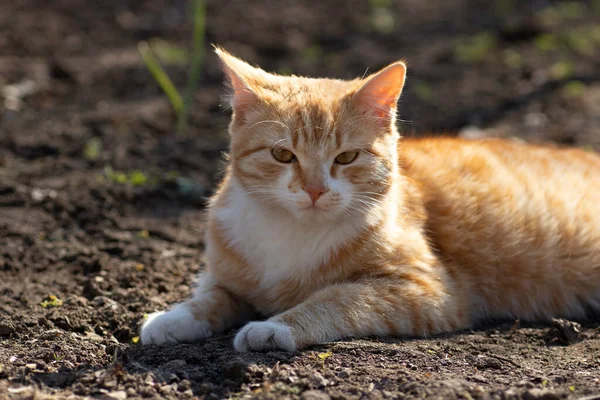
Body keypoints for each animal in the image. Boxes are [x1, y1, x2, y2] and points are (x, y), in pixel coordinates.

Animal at [141, 48, 600, 352]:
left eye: (346, 158)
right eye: (282, 155)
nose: (314, 190)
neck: (294, 233)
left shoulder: (427, 288)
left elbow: (338, 298)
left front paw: (274, 328)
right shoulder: (227, 274)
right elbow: (210, 297)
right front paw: (172, 318)